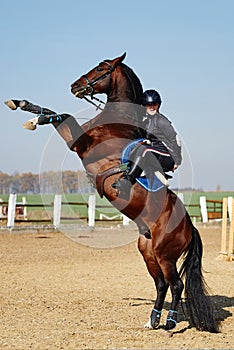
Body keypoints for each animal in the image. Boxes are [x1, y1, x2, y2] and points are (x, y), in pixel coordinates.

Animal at [4, 52, 218, 334]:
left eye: (101, 68)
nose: (74, 86)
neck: (116, 120)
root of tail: (189, 226)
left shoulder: (80, 143)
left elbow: (63, 115)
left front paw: (33, 118)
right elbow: (59, 114)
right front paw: (22, 105)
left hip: (165, 254)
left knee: (176, 285)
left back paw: (170, 321)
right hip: (147, 250)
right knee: (161, 284)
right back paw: (152, 320)